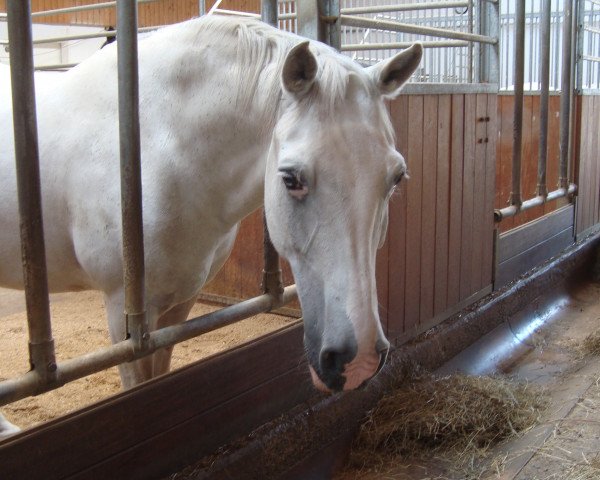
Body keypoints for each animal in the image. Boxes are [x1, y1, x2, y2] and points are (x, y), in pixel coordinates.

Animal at [0, 15, 422, 436]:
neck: (156, 146)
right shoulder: (125, 311)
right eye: (291, 179)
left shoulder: (177, 304)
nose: (359, 360)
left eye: (396, 177)